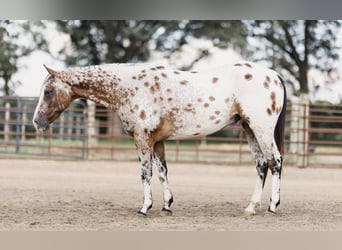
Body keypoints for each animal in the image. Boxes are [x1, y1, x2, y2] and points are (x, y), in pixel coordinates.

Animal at [34, 61, 286, 216]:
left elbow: (146, 173)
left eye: (48, 91)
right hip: (250, 130)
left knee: (275, 161)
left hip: (261, 130)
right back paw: (251, 207)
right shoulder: (157, 141)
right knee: (261, 164)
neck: (130, 88)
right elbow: (163, 171)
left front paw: (145, 207)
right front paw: (166, 205)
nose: (37, 122)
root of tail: (273, 75)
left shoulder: (142, 139)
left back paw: (273, 206)